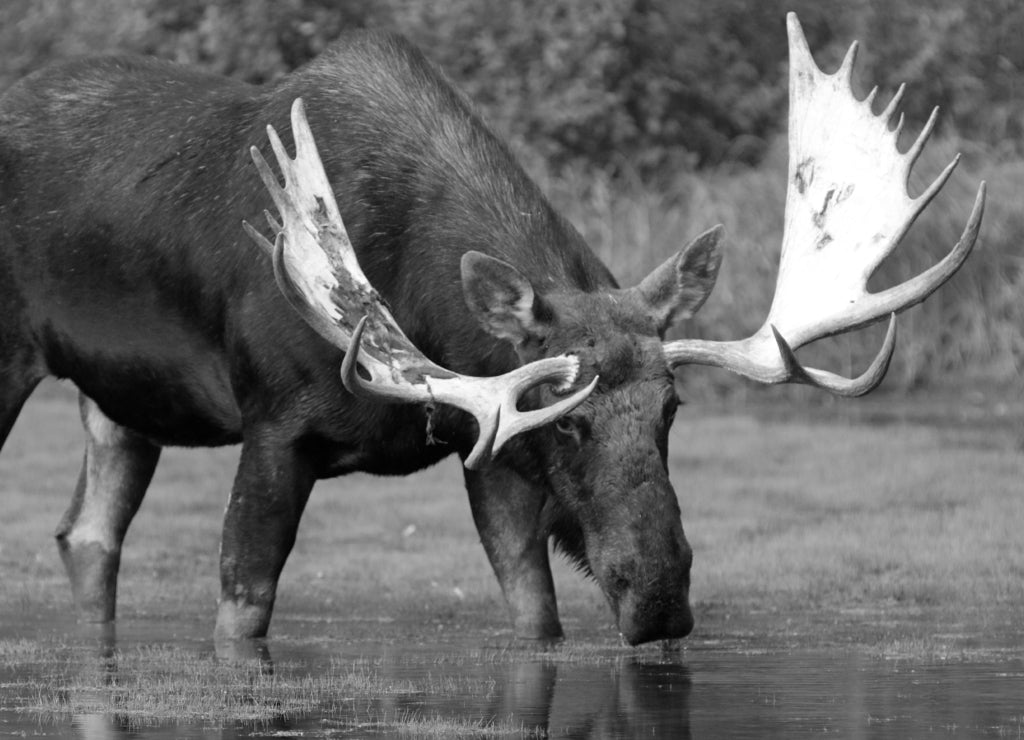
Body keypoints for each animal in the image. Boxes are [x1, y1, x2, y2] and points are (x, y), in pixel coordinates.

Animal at [0, 14, 983, 645]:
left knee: (87, 535)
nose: (661, 596)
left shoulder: (492, 449)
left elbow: (535, 617)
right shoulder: (276, 427)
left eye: (671, 411)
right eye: (568, 421)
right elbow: (242, 612)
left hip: (117, 407)